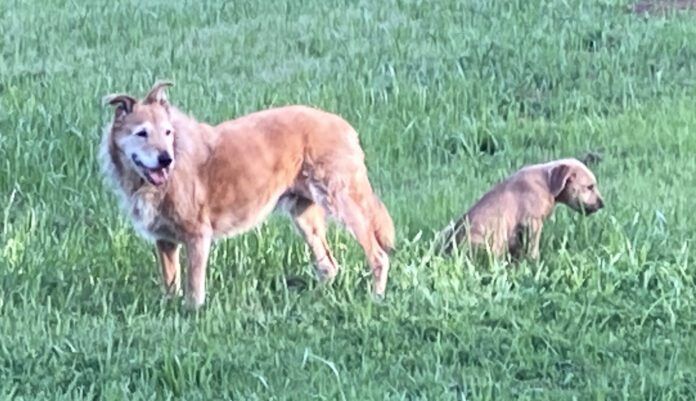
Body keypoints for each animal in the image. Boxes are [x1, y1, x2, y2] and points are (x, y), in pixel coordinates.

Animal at [100, 80, 394, 306]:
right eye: (142, 133)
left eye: (168, 132)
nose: (165, 159)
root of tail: (344, 126)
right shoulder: (164, 241)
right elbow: (171, 282)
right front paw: (170, 308)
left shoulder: (198, 235)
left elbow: (194, 288)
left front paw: (192, 314)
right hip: (304, 215)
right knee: (328, 265)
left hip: (342, 201)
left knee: (377, 255)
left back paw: (376, 298)